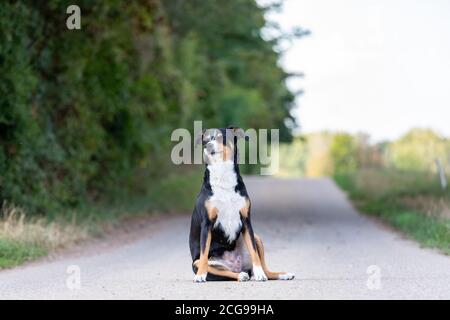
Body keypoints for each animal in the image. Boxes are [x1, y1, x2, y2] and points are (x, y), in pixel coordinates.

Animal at [189, 126, 296, 282]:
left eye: (221, 137)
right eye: (205, 140)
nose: (207, 146)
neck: (223, 177)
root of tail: (236, 265)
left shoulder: (246, 220)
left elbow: (254, 253)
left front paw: (259, 274)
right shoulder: (206, 224)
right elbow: (204, 253)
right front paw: (200, 276)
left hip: (257, 237)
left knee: (265, 268)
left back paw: (277, 274)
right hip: (198, 263)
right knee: (223, 272)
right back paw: (240, 275)